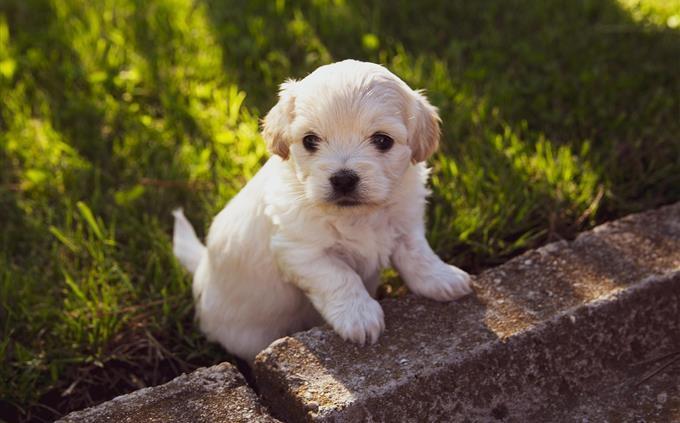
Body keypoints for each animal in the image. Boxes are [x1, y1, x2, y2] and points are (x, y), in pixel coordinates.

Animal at [174, 60, 472, 364]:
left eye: (382, 140)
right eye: (310, 140)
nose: (343, 179)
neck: (357, 215)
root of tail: (202, 270)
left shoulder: (405, 224)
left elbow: (418, 255)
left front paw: (442, 278)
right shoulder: (302, 252)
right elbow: (340, 277)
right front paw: (360, 316)